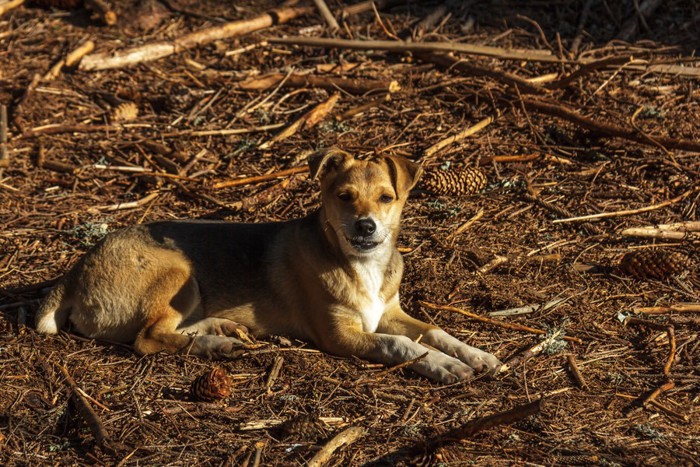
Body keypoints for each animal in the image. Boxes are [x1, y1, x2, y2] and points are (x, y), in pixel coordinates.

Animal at [35, 150, 500, 384]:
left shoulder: (389, 312)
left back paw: (219, 330)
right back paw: (214, 344)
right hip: (178, 272)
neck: (359, 263)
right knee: (148, 338)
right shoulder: (341, 336)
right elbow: (400, 344)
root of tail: (74, 273)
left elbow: (435, 330)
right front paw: (443, 365)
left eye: (387, 197)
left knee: (168, 329)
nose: (365, 226)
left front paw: (477, 354)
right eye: (344, 196)